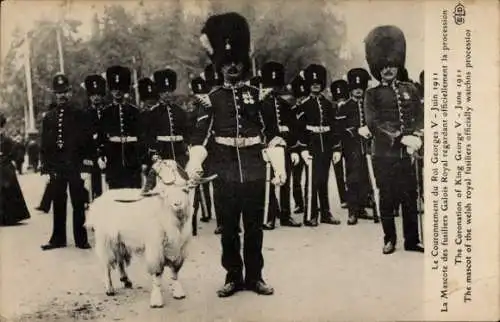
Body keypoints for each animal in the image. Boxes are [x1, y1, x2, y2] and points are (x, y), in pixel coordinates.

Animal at [85, 160, 206, 308]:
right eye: (163, 192)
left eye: (185, 189)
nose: (177, 204)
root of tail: (99, 200)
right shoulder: (155, 248)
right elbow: (158, 273)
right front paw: (157, 300)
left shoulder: (179, 248)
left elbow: (175, 270)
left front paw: (178, 293)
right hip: (105, 240)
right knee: (106, 264)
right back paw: (109, 289)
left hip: (120, 241)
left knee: (120, 260)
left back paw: (126, 280)